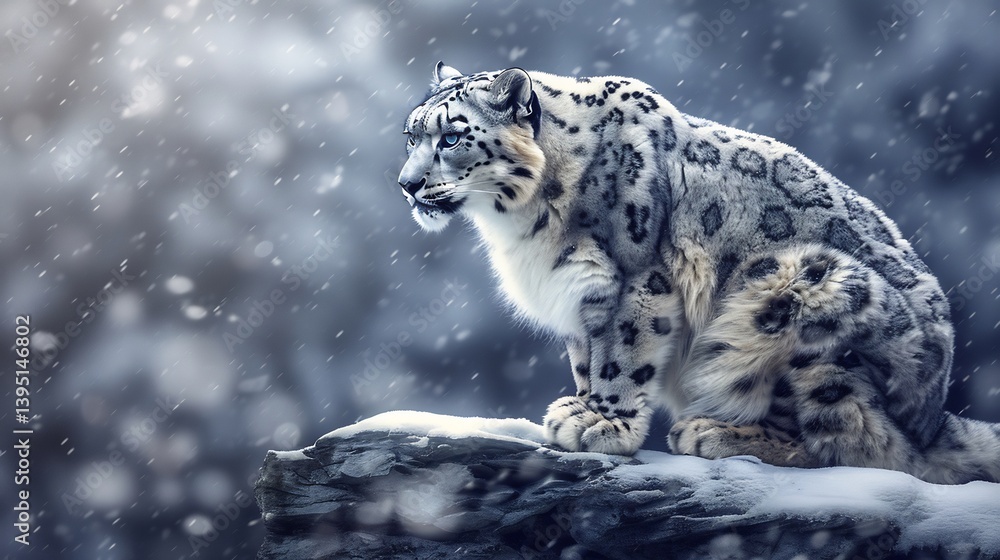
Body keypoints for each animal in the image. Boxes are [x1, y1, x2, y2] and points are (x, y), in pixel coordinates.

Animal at [396, 62, 1000, 484]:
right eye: (411, 135)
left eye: (452, 136)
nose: (406, 183)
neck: (523, 224)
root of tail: (934, 419)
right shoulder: (578, 291)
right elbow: (585, 358)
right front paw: (581, 407)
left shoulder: (638, 280)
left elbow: (622, 355)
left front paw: (604, 423)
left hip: (799, 286)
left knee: (843, 442)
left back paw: (718, 432)